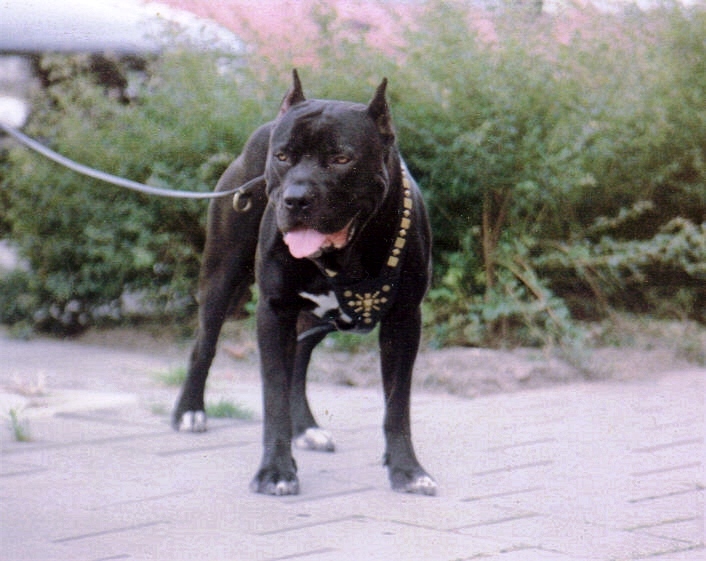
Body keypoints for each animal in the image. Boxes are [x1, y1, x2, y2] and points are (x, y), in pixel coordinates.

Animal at [172, 71, 434, 494]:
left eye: (342, 158)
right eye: (282, 157)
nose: (296, 198)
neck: (346, 255)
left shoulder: (404, 320)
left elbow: (397, 404)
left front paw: (407, 470)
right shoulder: (273, 311)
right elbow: (273, 395)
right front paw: (276, 471)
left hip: (314, 319)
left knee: (299, 360)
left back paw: (306, 428)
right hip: (221, 276)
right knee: (204, 345)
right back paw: (190, 411)